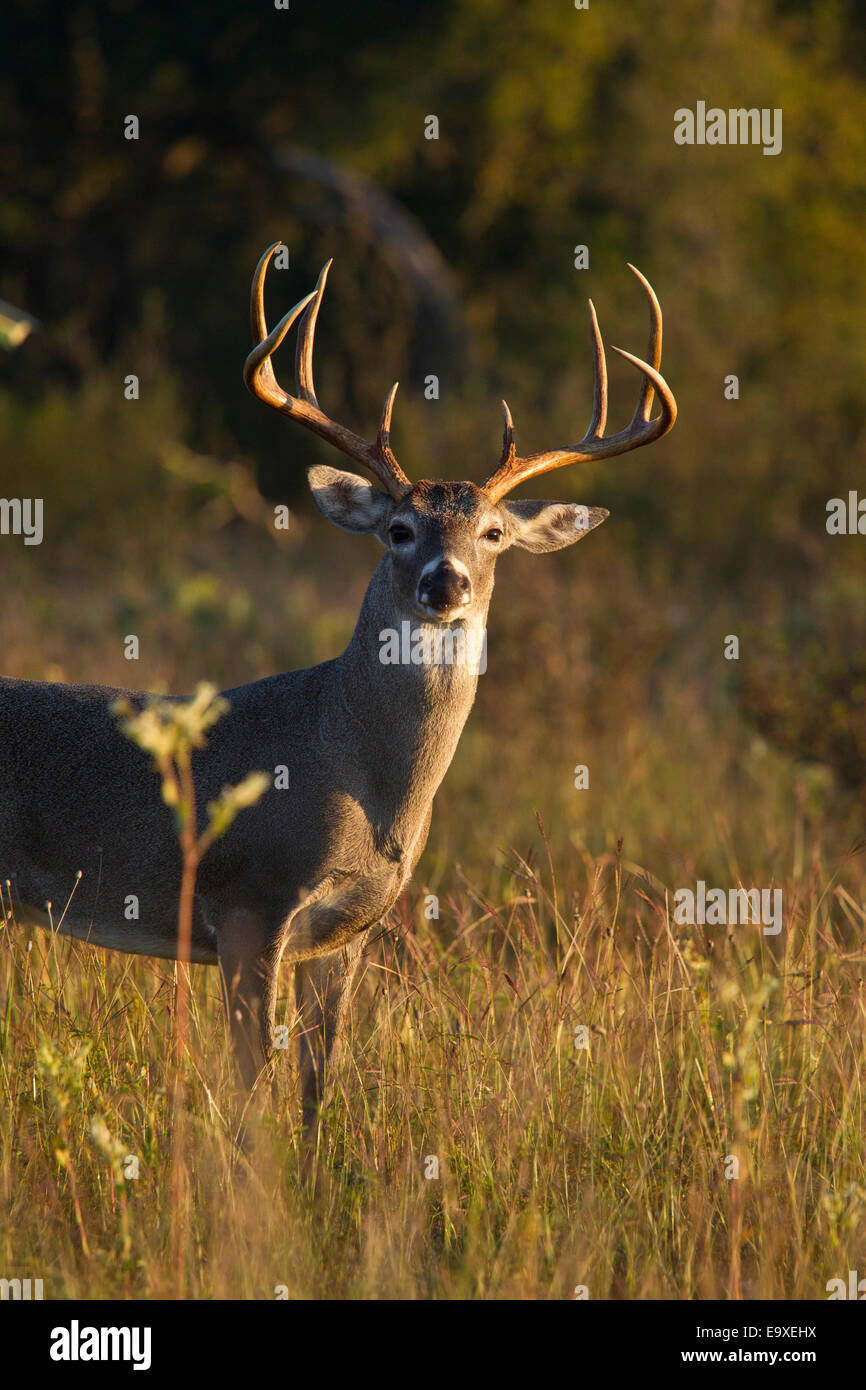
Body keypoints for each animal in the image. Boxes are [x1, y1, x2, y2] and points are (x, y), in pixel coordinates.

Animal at [0, 244, 678, 1123]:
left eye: (494, 532)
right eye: (399, 528)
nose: (446, 582)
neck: (360, 774)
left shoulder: (349, 931)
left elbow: (319, 1086)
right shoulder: (250, 902)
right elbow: (251, 1091)